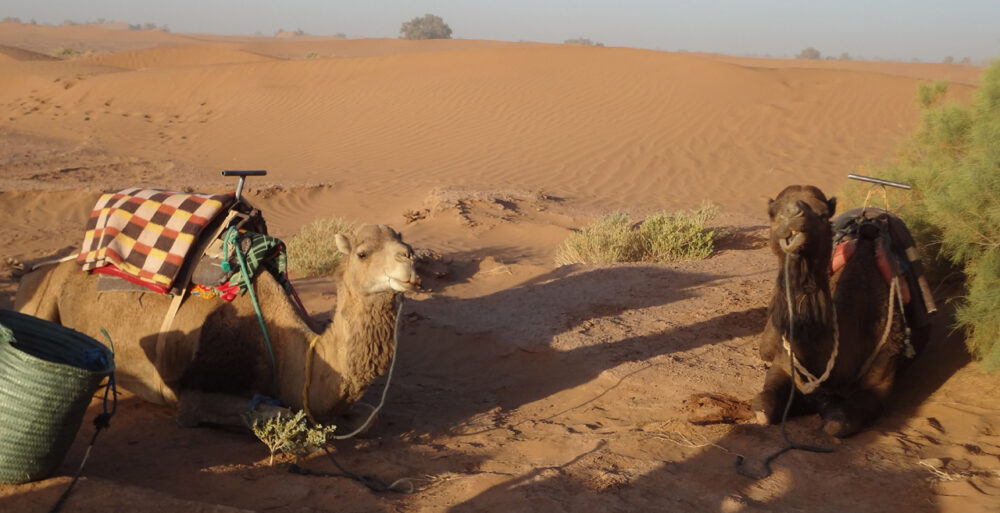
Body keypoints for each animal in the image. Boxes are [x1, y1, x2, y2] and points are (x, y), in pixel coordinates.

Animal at [16, 224, 414, 428]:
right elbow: (278, 415)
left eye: (403, 243)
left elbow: (365, 414)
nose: (409, 261)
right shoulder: (192, 394)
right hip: (40, 299)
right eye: (362, 253)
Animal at [756, 186, 928, 438]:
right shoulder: (783, 362)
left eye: (823, 214)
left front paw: (825, 407)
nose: (793, 214)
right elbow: (763, 410)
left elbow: (837, 424)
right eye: (773, 213)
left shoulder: (880, 381)